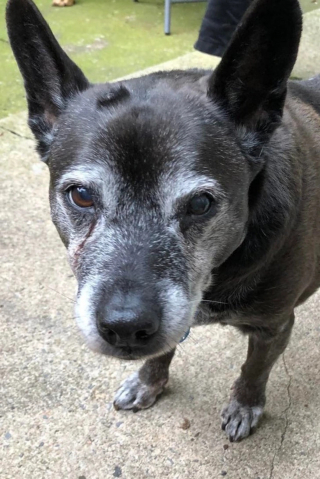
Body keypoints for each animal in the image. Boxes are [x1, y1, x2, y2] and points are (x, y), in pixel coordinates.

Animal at [6, 0, 320, 442]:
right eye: (81, 195)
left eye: (201, 204)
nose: (124, 326)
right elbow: (164, 348)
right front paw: (148, 381)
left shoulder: (274, 327)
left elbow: (254, 370)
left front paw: (245, 405)